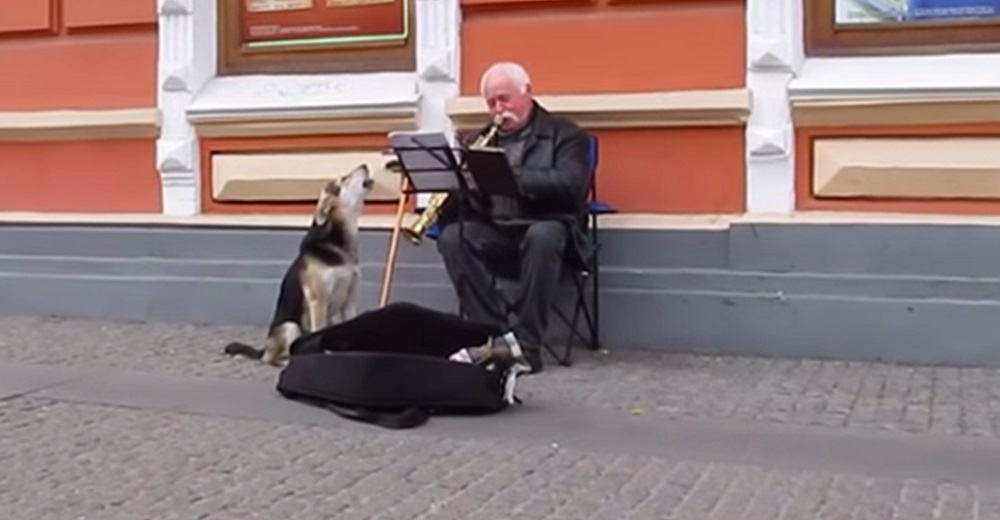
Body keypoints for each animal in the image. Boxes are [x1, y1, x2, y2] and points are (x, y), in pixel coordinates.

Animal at [223, 164, 376, 366]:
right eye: (344, 178)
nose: (364, 165)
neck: (337, 241)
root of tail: (265, 348)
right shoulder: (318, 300)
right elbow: (317, 329)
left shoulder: (349, 301)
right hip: (290, 327)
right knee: (272, 358)